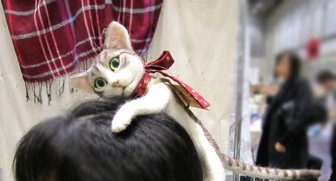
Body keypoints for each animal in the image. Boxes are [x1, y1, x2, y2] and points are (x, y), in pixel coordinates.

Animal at [70, 21, 320, 181]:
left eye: (115, 63)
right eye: (100, 83)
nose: (115, 82)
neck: (140, 88)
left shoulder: (160, 92)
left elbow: (139, 103)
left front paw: (119, 119)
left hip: (210, 160)